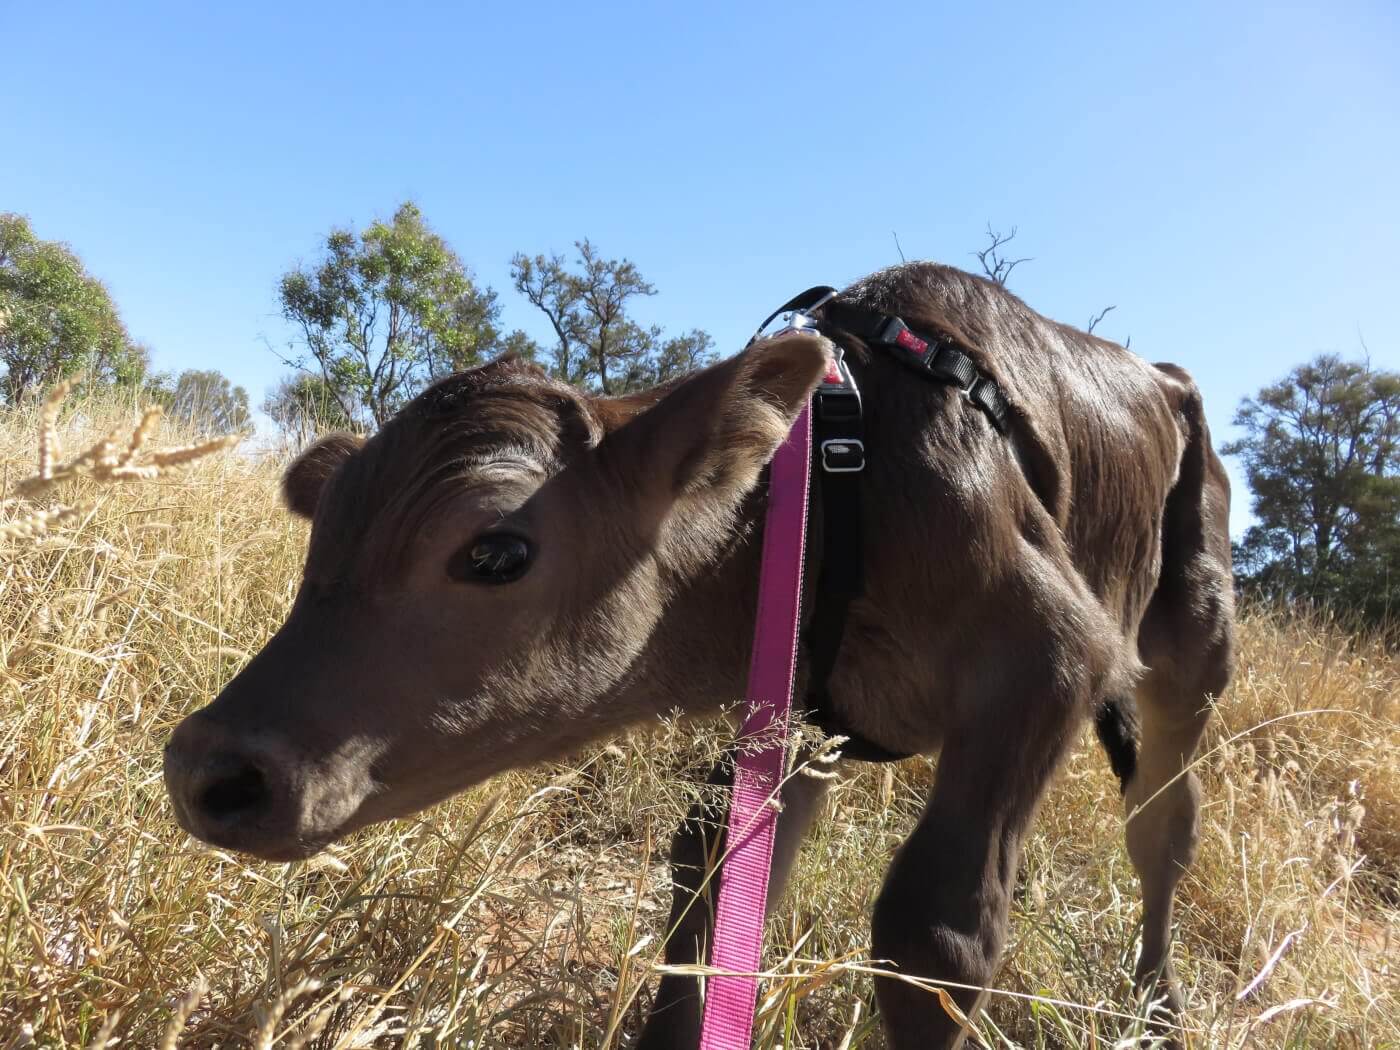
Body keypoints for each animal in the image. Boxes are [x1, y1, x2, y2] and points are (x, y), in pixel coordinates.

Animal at [166, 264, 1237, 1050]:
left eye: (496, 552)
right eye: (320, 546)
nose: (207, 770)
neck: (844, 478)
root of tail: (1162, 377)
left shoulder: (1050, 656)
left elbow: (937, 935)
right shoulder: (785, 705)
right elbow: (712, 884)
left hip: (1197, 639)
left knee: (1164, 826)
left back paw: (1158, 1008)